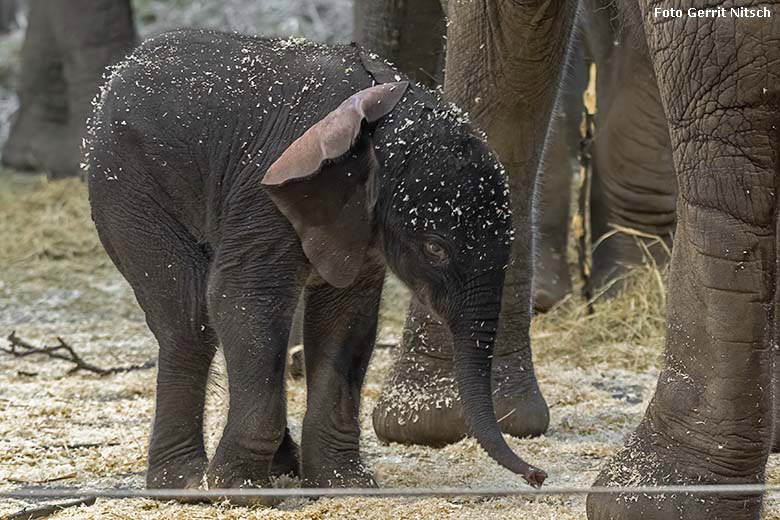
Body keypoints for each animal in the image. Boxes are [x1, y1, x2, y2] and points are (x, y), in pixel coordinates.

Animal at [85, 29, 544, 500]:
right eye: (435, 249)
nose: (538, 476)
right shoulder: (264, 195)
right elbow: (244, 300)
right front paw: (240, 491)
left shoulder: (356, 219)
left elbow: (345, 320)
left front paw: (345, 485)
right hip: (129, 186)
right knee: (189, 319)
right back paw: (185, 482)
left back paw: (277, 468)